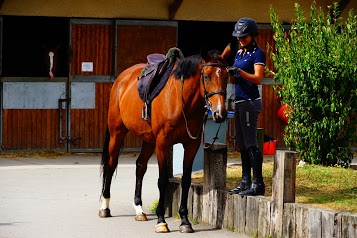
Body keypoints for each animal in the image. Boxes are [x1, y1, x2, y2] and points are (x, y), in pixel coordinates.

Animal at [98, 44, 229, 232]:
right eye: (206, 76)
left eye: (227, 76)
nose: (220, 113)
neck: (182, 101)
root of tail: (121, 79)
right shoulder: (163, 143)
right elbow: (162, 180)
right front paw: (161, 220)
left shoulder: (191, 145)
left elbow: (186, 181)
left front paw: (185, 221)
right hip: (117, 133)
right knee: (111, 164)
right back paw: (105, 207)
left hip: (148, 139)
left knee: (140, 166)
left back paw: (139, 209)